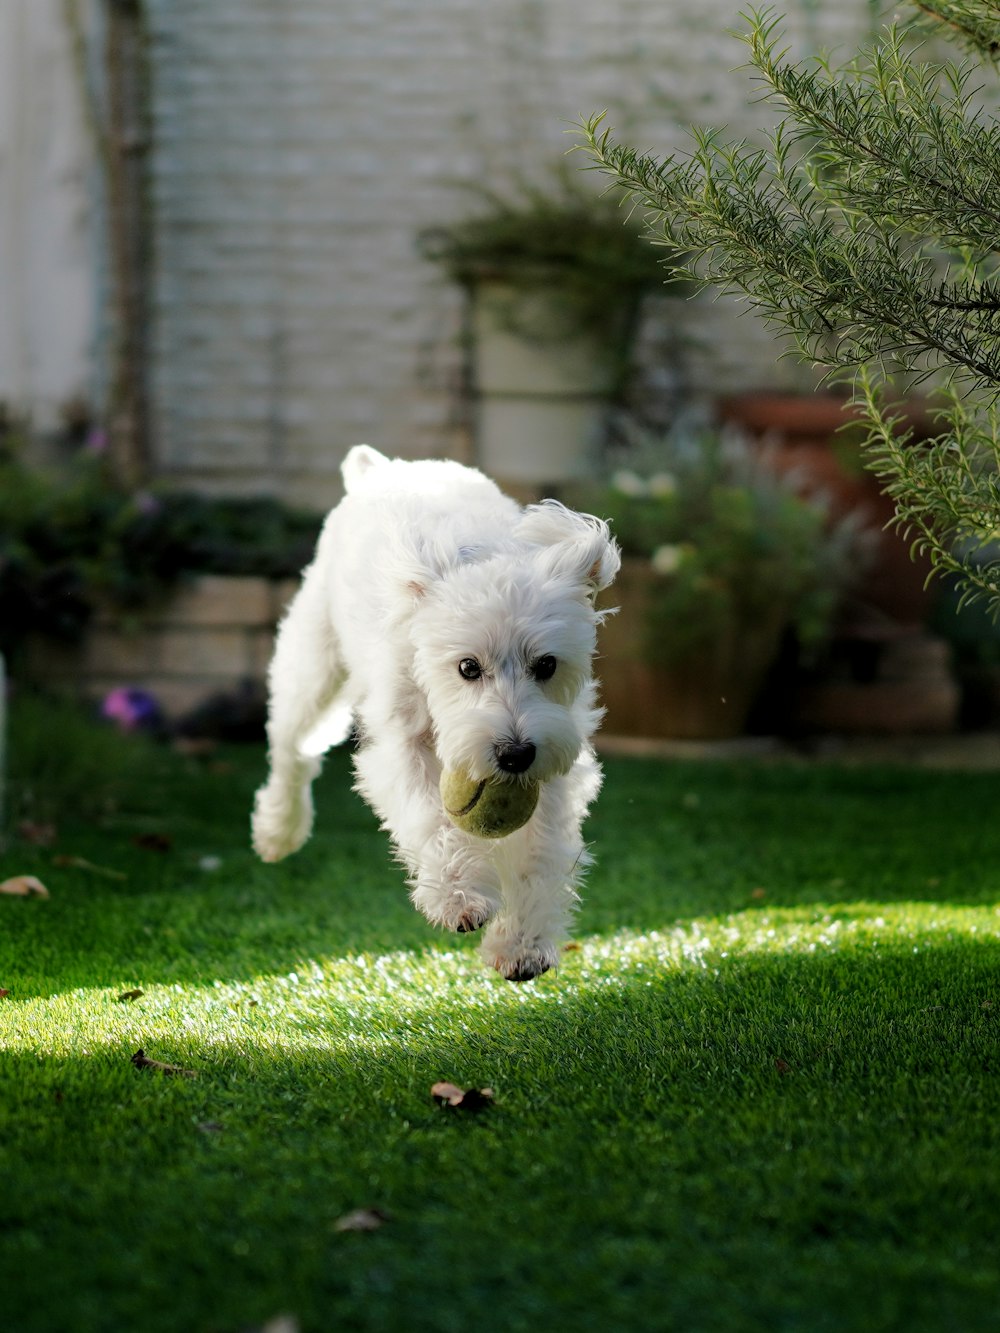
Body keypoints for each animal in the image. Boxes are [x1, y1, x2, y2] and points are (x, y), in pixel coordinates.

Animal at [252, 447, 618, 981]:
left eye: (547, 665)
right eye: (467, 667)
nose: (514, 755)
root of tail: (382, 466)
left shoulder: (556, 759)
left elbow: (541, 850)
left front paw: (522, 944)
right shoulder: (401, 742)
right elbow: (429, 818)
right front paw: (458, 897)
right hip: (311, 668)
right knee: (291, 750)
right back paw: (278, 831)